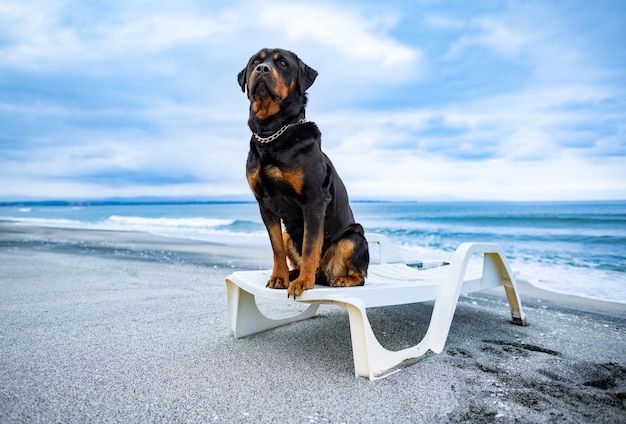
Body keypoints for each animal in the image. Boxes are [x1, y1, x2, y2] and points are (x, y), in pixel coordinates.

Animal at [236, 48, 368, 298]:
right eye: (256, 61)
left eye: (283, 63)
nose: (262, 69)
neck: (272, 133)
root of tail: (324, 273)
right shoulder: (264, 204)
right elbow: (276, 246)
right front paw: (279, 277)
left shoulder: (314, 201)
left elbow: (310, 246)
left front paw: (303, 283)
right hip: (291, 235)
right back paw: (292, 274)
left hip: (354, 237)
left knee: (359, 275)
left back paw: (339, 278)